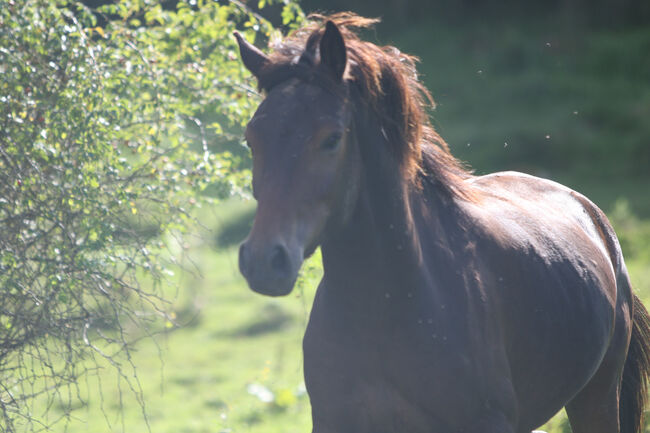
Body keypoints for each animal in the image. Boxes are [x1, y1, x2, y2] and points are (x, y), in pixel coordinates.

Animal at [233, 13, 648, 432]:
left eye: (332, 138)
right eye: (251, 138)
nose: (264, 262)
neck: (387, 308)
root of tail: (592, 215)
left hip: (596, 398)